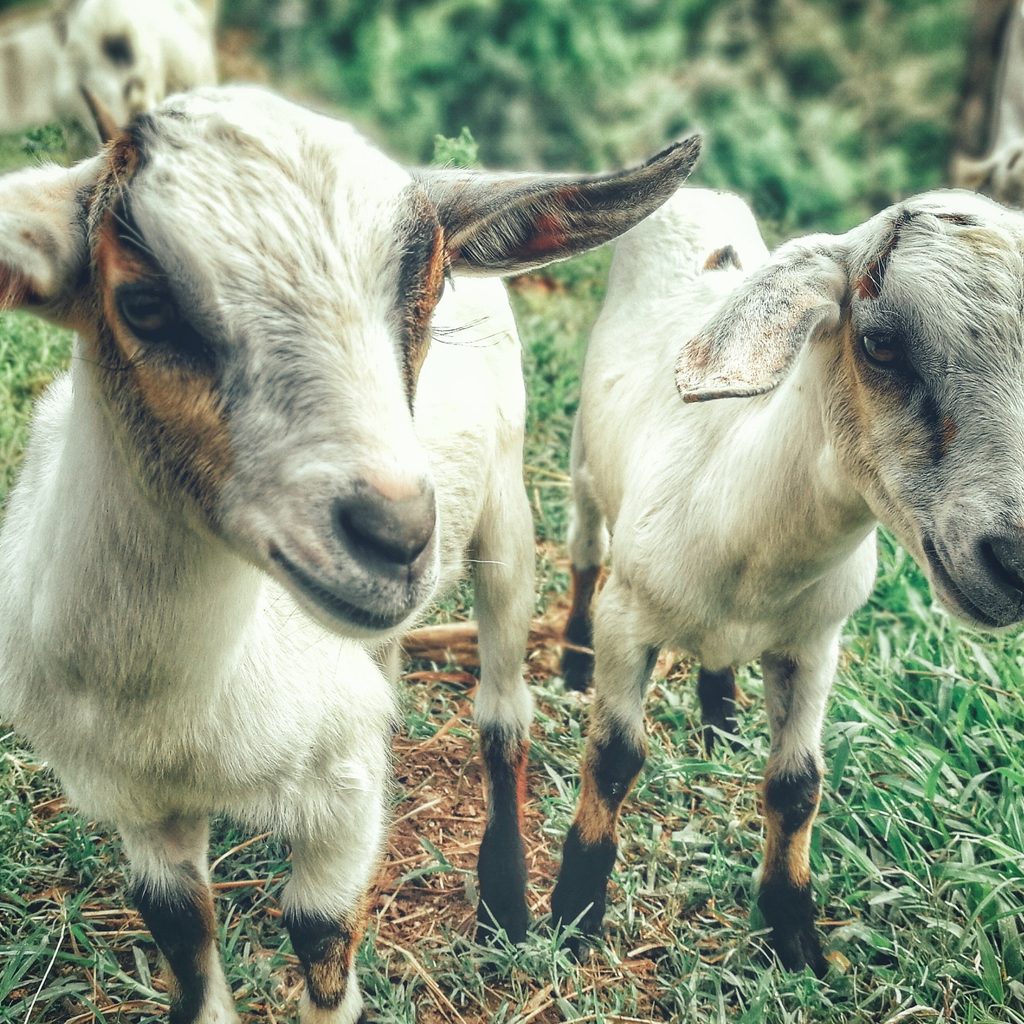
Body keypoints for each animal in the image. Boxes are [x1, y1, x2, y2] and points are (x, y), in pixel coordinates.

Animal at [0, 85, 699, 1021]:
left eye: (425, 294)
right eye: (143, 305)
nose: (396, 535)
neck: (174, 702)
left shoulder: (340, 797)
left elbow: (322, 935)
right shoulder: (135, 806)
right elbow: (183, 939)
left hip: (506, 514)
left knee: (503, 713)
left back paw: (507, 902)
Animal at [551, 186, 1024, 975]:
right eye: (880, 343)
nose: (1015, 558)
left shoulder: (815, 642)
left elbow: (797, 786)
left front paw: (795, 932)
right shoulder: (630, 619)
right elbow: (613, 758)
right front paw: (574, 909)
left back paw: (721, 716)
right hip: (587, 458)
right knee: (585, 548)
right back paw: (570, 659)